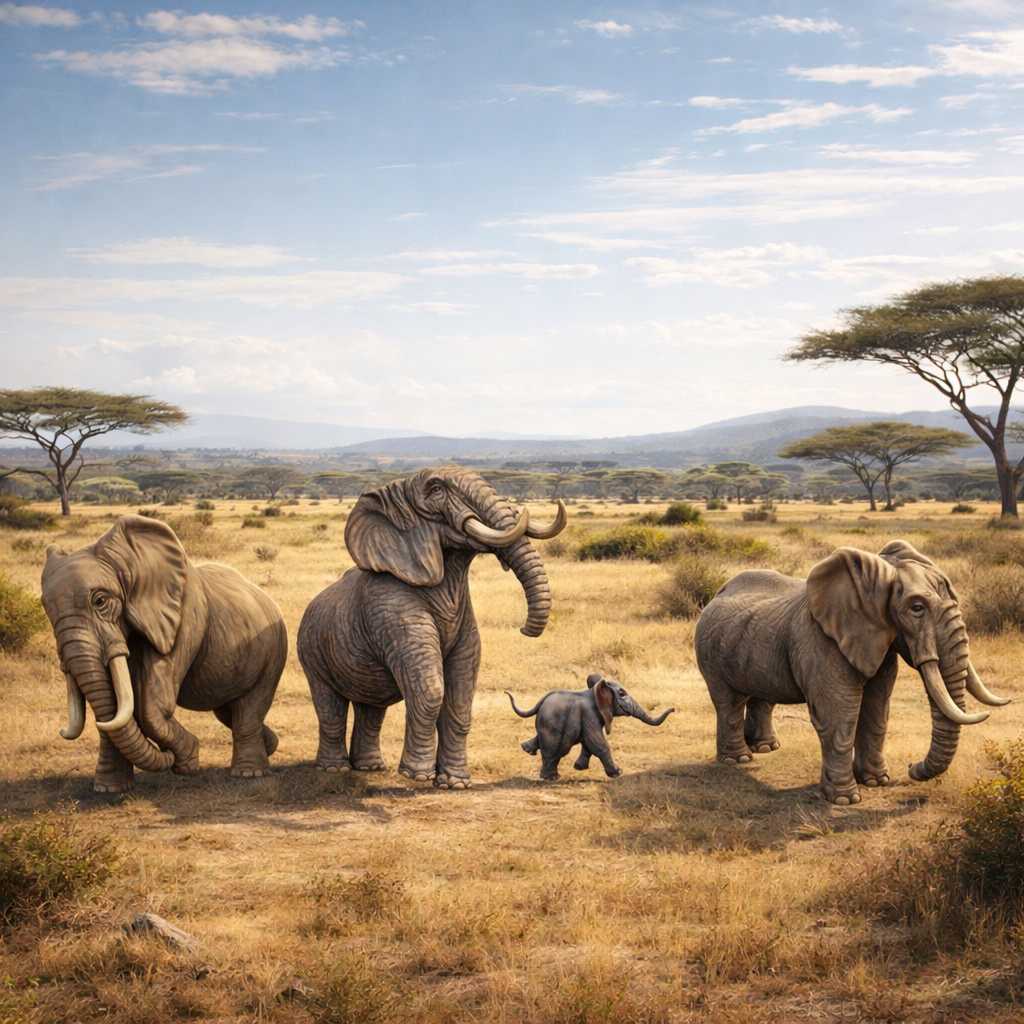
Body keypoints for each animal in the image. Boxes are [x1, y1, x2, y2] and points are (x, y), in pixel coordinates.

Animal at [40, 514, 287, 793]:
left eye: (100, 601)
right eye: (46, 609)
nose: (169, 756)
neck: (131, 560)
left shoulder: (183, 617)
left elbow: (149, 705)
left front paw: (187, 760)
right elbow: (114, 706)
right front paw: (110, 789)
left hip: (273, 652)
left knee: (249, 708)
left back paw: (248, 773)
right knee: (228, 711)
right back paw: (270, 746)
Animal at [296, 466, 566, 789]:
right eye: (436, 490)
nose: (525, 630)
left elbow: (461, 692)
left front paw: (455, 783)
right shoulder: (390, 608)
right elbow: (431, 689)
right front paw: (418, 776)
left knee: (371, 708)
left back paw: (370, 768)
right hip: (311, 650)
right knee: (330, 706)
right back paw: (334, 769)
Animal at [506, 673, 675, 780]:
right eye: (622, 693)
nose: (673, 709)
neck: (595, 690)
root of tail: (541, 702)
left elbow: (588, 744)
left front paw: (580, 768)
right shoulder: (589, 714)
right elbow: (597, 743)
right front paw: (618, 773)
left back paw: (527, 750)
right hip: (552, 724)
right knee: (555, 749)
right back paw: (551, 778)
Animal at [694, 540, 1009, 805]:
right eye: (917, 608)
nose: (911, 767)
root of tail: (718, 592)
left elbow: (877, 709)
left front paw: (877, 782)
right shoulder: (821, 642)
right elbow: (838, 717)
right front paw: (845, 800)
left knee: (762, 697)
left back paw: (766, 748)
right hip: (709, 649)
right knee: (729, 703)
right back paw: (739, 760)